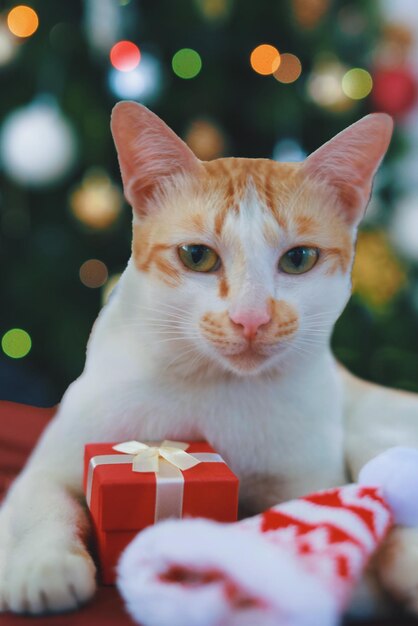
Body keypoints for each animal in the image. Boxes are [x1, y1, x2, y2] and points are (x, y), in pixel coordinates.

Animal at [0, 101, 418, 616]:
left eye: (299, 259)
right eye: (197, 256)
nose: (251, 318)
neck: (213, 384)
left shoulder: (309, 480)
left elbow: (319, 516)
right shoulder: (48, 464)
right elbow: (43, 502)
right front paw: (44, 565)